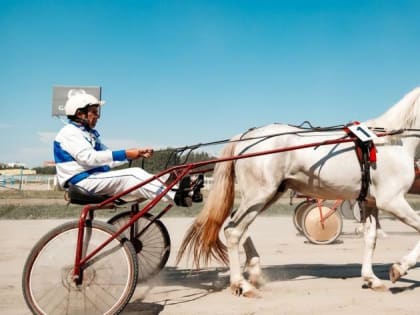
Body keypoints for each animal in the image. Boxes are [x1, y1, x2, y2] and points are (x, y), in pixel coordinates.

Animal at [178, 87, 420, 298]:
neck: (391, 140)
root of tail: (245, 137)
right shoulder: (392, 201)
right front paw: (399, 268)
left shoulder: (370, 202)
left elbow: (370, 238)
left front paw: (371, 278)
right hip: (260, 194)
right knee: (233, 231)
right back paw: (241, 284)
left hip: (267, 195)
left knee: (239, 227)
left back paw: (254, 271)